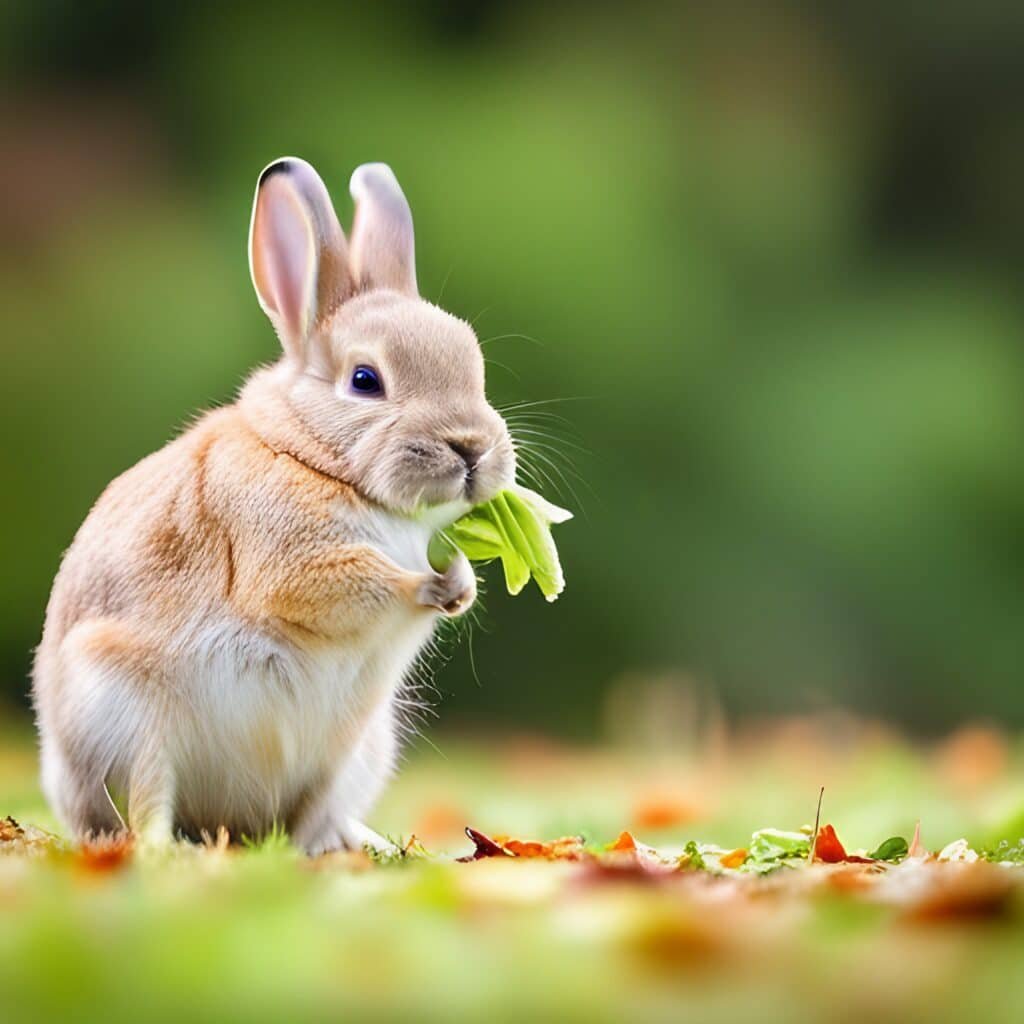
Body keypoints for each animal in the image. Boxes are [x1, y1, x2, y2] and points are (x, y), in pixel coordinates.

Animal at [32, 157, 516, 853]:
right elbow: (343, 585)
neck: (308, 453)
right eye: (365, 381)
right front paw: (433, 585)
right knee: (147, 800)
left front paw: (463, 584)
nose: (472, 448)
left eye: (472, 363)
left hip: (354, 750)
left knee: (313, 817)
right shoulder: (287, 560)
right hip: (128, 717)